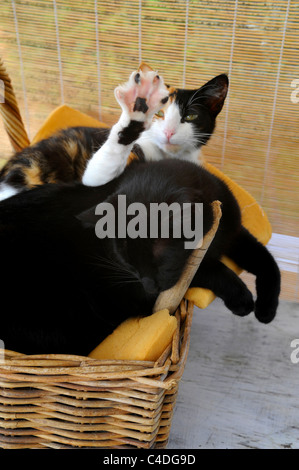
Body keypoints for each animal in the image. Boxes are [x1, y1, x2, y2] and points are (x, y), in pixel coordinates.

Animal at [0, 63, 229, 198]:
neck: (165, 155)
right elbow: (96, 176)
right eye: (159, 114)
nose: (169, 132)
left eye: (190, 116)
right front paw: (140, 103)